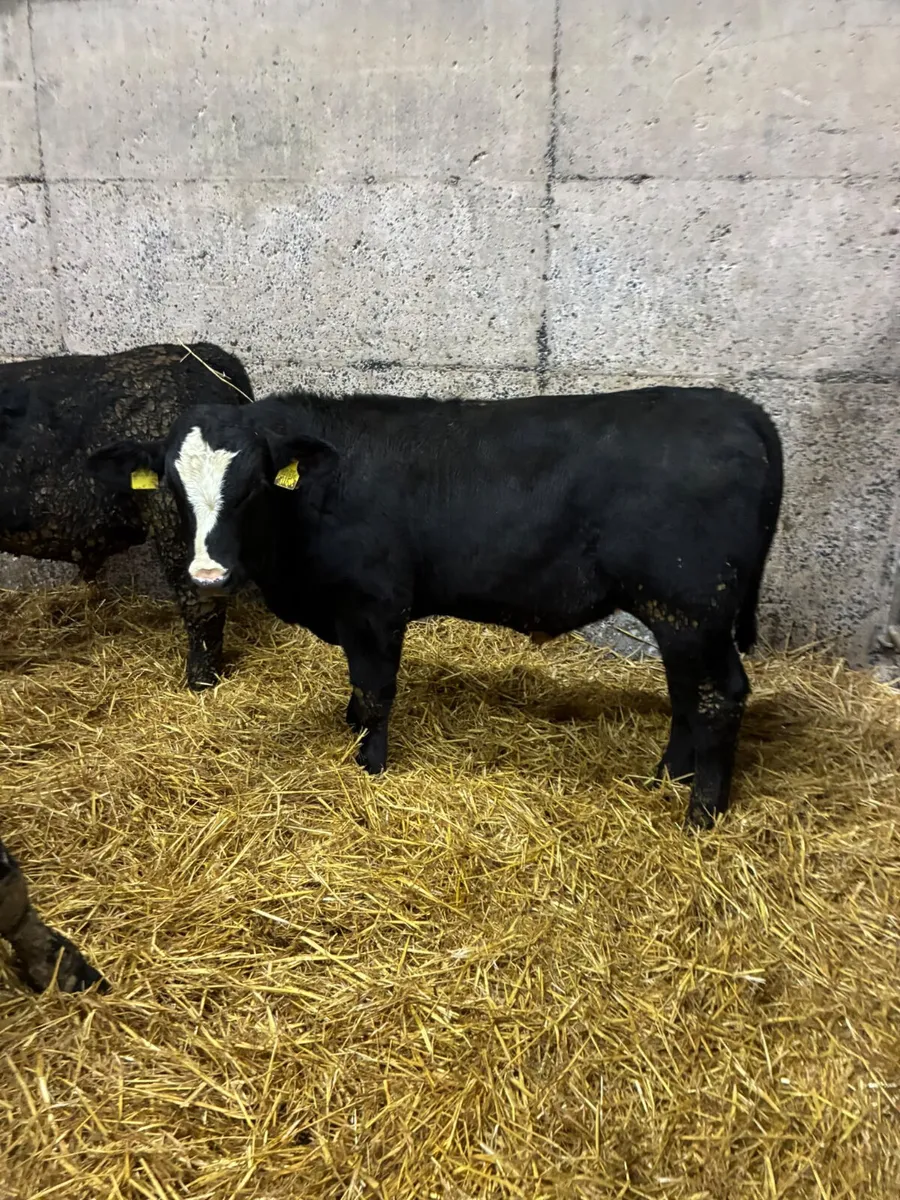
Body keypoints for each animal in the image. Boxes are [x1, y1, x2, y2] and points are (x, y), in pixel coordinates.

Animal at [90, 386, 783, 828]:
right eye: (174, 487)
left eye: (256, 484)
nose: (208, 575)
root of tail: (738, 407)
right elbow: (357, 686)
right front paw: (350, 733)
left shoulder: (376, 607)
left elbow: (376, 689)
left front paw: (369, 765)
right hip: (683, 618)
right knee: (688, 694)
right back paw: (667, 778)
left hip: (692, 607)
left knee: (719, 695)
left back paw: (701, 813)